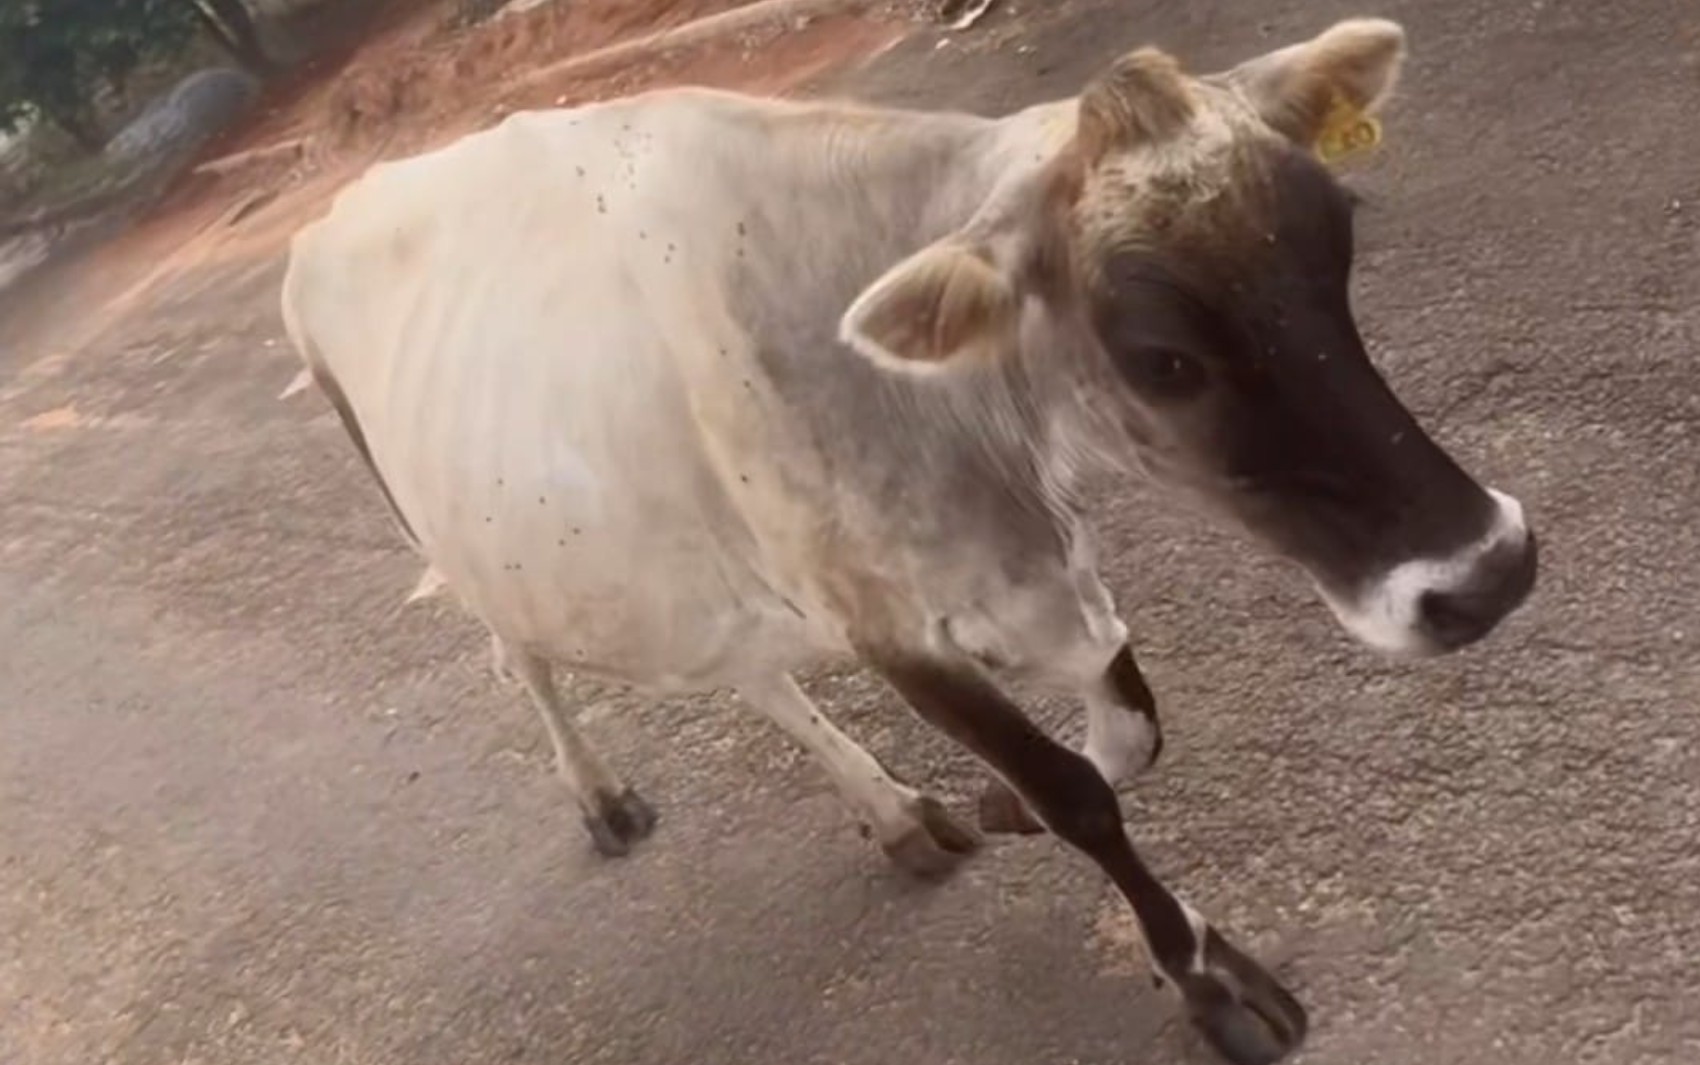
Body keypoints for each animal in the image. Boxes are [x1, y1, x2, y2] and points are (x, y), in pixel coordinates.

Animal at [282, 18, 1536, 1065]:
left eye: (1336, 250)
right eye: (1160, 354)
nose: (1485, 569)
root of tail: (335, 214)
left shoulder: (1037, 576)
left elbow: (1124, 735)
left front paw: (1001, 804)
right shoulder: (885, 621)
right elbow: (1080, 795)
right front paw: (1206, 981)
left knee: (749, 669)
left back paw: (892, 812)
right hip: (445, 524)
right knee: (523, 657)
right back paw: (602, 797)